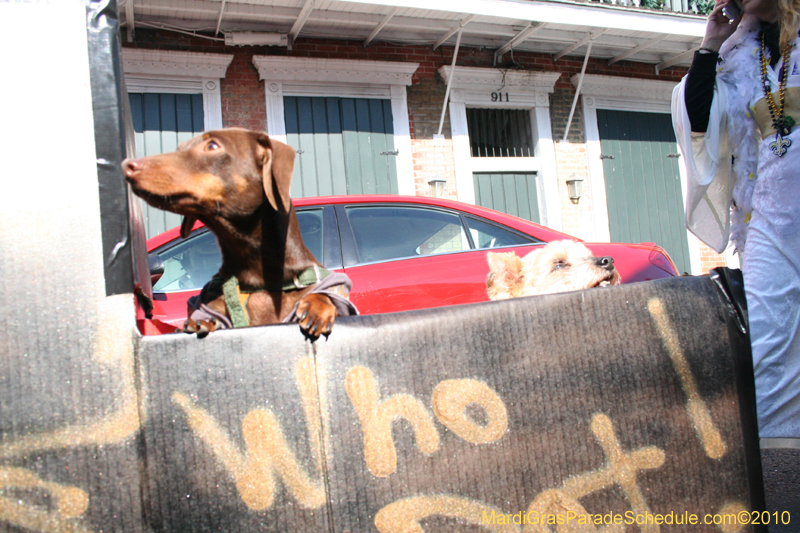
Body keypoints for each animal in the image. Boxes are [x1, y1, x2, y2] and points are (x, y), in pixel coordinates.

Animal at [122, 128, 356, 336]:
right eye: (179, 147)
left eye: (212, 146)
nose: (127, 165)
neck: (259, 280)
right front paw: (201, 323)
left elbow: (323, 294)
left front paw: (318, 306)